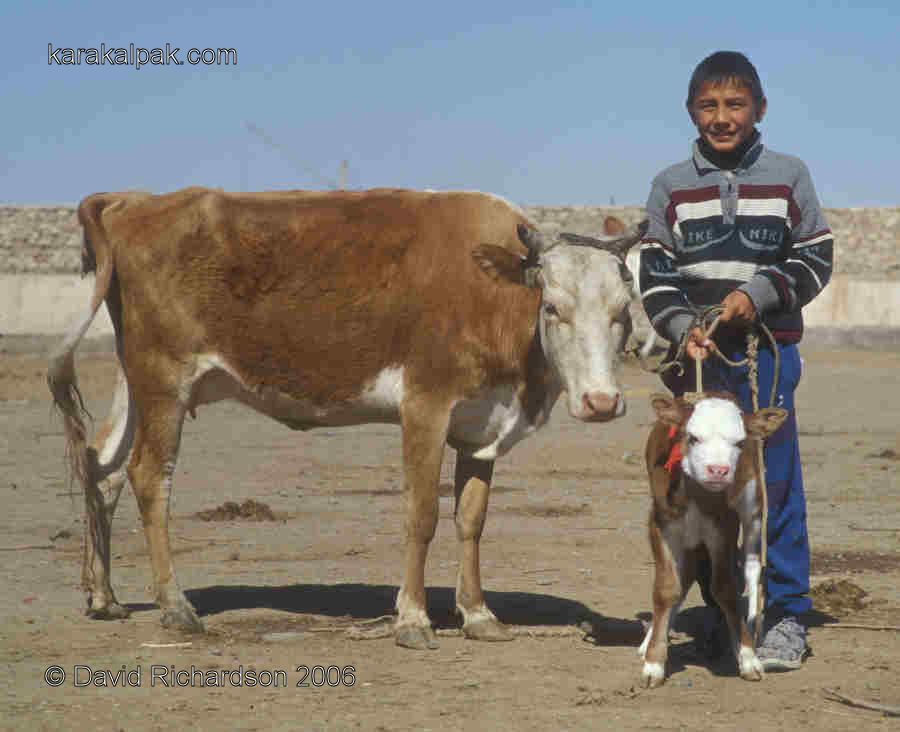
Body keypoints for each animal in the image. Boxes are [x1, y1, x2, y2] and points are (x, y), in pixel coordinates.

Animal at [47, 186, 640, 648]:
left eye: (622, 312)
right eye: (552, 307)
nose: (601, 402)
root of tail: (134, 201)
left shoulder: (481, 423)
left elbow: (471, 520)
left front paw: (478, 615)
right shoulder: (425, 406)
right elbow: (422, 515)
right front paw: (413, 619)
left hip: (136, 383)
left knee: (103, 468)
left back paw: (104, 596)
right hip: (164, 382)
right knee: (149, 478)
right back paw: (175, 605)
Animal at [636, 394, 784, 688]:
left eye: (739, 442)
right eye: (692, 437)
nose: (718, 470)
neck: (696, 496)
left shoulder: (723, 528)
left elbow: (725, 589)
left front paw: (747, 656)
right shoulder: (660, 523)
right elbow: (667, 588)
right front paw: (654, 662)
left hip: (753, 506)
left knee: (752, 567)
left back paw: (752, 625)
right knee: (684, 580)